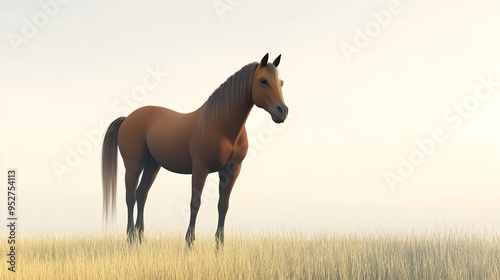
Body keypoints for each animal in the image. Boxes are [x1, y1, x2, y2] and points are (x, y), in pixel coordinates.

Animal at [100, 53, 290, 247]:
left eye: (281, 82)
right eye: (263, 81)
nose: (282, 112)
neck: (220, 126)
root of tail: (127, 118)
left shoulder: (231, 170)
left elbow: (223, 205)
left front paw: (219, 245)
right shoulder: (200, 168)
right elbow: (195, 203)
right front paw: (189, 243)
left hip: (152, 165)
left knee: (141, 194)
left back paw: (140, 238)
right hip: (133, 164)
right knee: (130, 196)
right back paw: (131, 238)